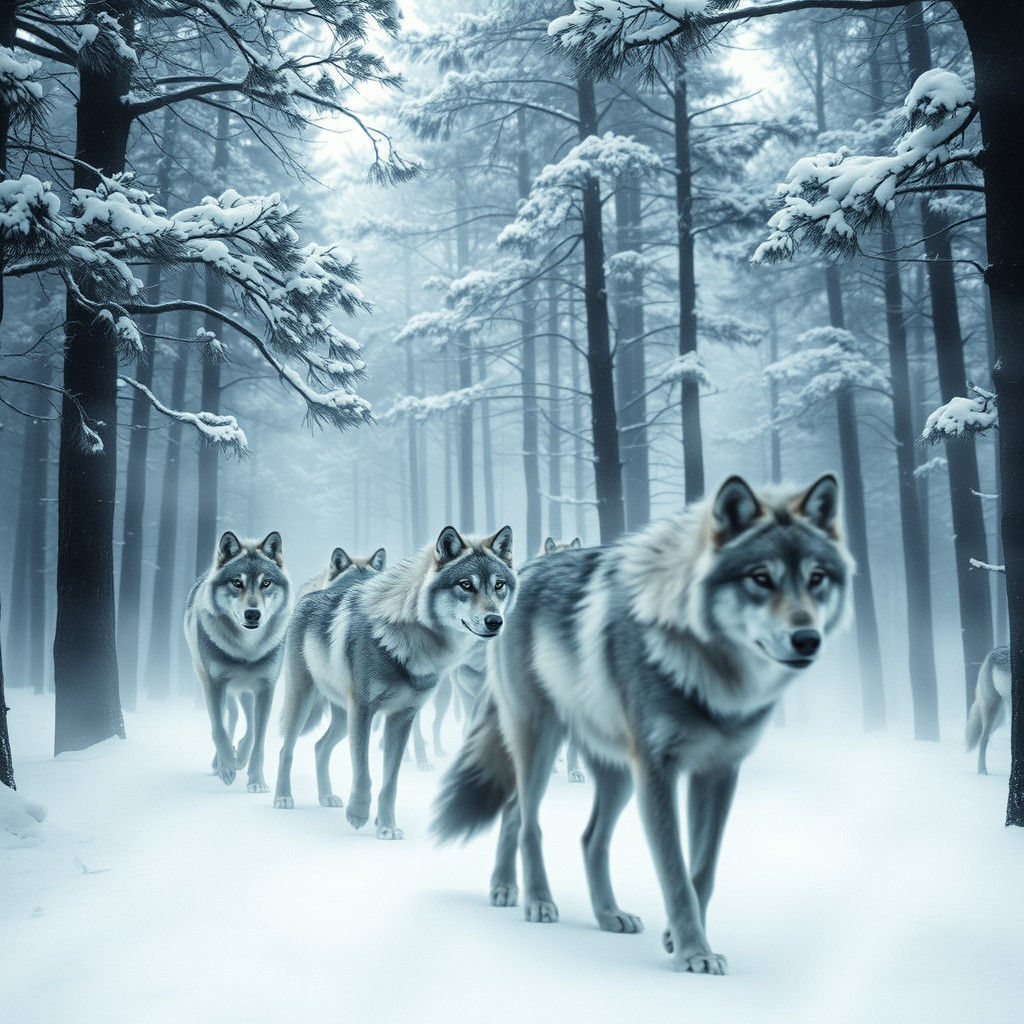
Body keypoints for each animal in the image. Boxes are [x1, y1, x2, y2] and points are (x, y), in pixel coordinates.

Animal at [184, 531, 292, 791]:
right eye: (236, 582)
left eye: (266, 583)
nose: (252, 614)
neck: (247, 649)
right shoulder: (214, 684)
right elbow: (218, 729)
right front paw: (227, 767)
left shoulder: (266, 687)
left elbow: (258, 737)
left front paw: (256, 780)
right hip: (214, 682)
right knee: (229, 718)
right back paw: (221, 763)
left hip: (245, 690)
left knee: (246, 721)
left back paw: (240, 756)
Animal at [275, 525, 517, 839]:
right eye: (466, 585)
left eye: (499, 585)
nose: (494, 621)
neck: (411, 641)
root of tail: (308, 597)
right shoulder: (363, 711)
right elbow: (363, 772)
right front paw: (358, 814)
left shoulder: (402, 717)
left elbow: (390, 782)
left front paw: (387, 826)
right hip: (304, 703)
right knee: (286, 748)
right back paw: (282, 797)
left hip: (341, 717)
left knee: (319, 747)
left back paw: (326, 796)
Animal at [433, 476, 851, 975]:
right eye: (761, 578)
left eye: (816, 578)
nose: (808, 639)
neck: (707, 671)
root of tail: (524, 573)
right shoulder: (656, 771)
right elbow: (674, 871)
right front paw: (694, 953)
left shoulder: (719, 772)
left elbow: (703, 870)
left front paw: (678, 938)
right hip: (542, 742)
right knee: (524, 815)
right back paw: (530, 898)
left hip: (616, 773)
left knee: (584, 836)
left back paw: (604, 913)